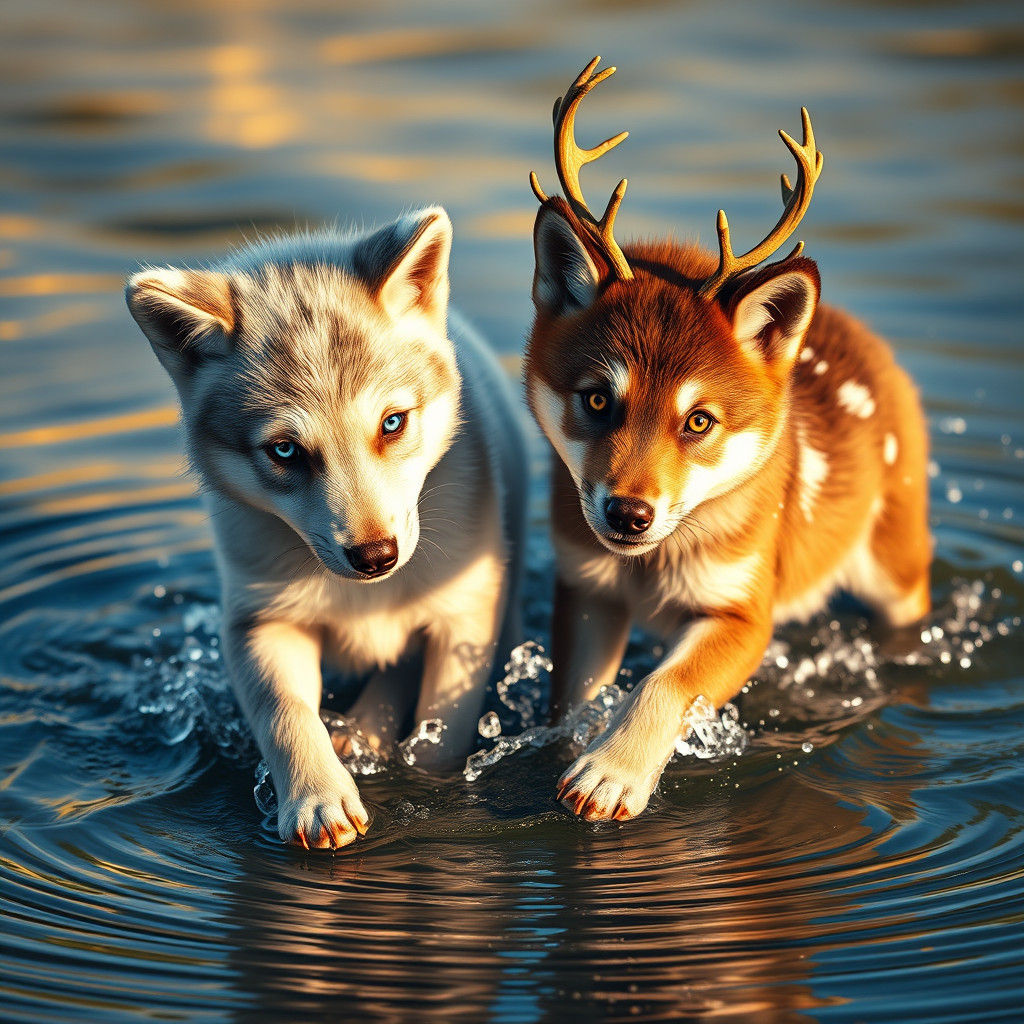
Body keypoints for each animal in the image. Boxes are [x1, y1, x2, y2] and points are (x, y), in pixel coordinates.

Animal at [127, 207, 527, 849]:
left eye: (393, 422)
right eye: (285, 450)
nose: (375, 556)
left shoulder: (465, 613)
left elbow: (441, 728)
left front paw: (430, 790)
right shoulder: (261, 620)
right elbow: (285, 713)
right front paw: (317, 799)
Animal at [525, 59, 931, 823]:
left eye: (699, 420)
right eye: (597, 398)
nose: (628, 514)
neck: (652, 569)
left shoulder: (743, 611)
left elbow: (665, 684)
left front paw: (609, 776)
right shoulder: (586, 589)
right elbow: (575, 698)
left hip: (897, 565)